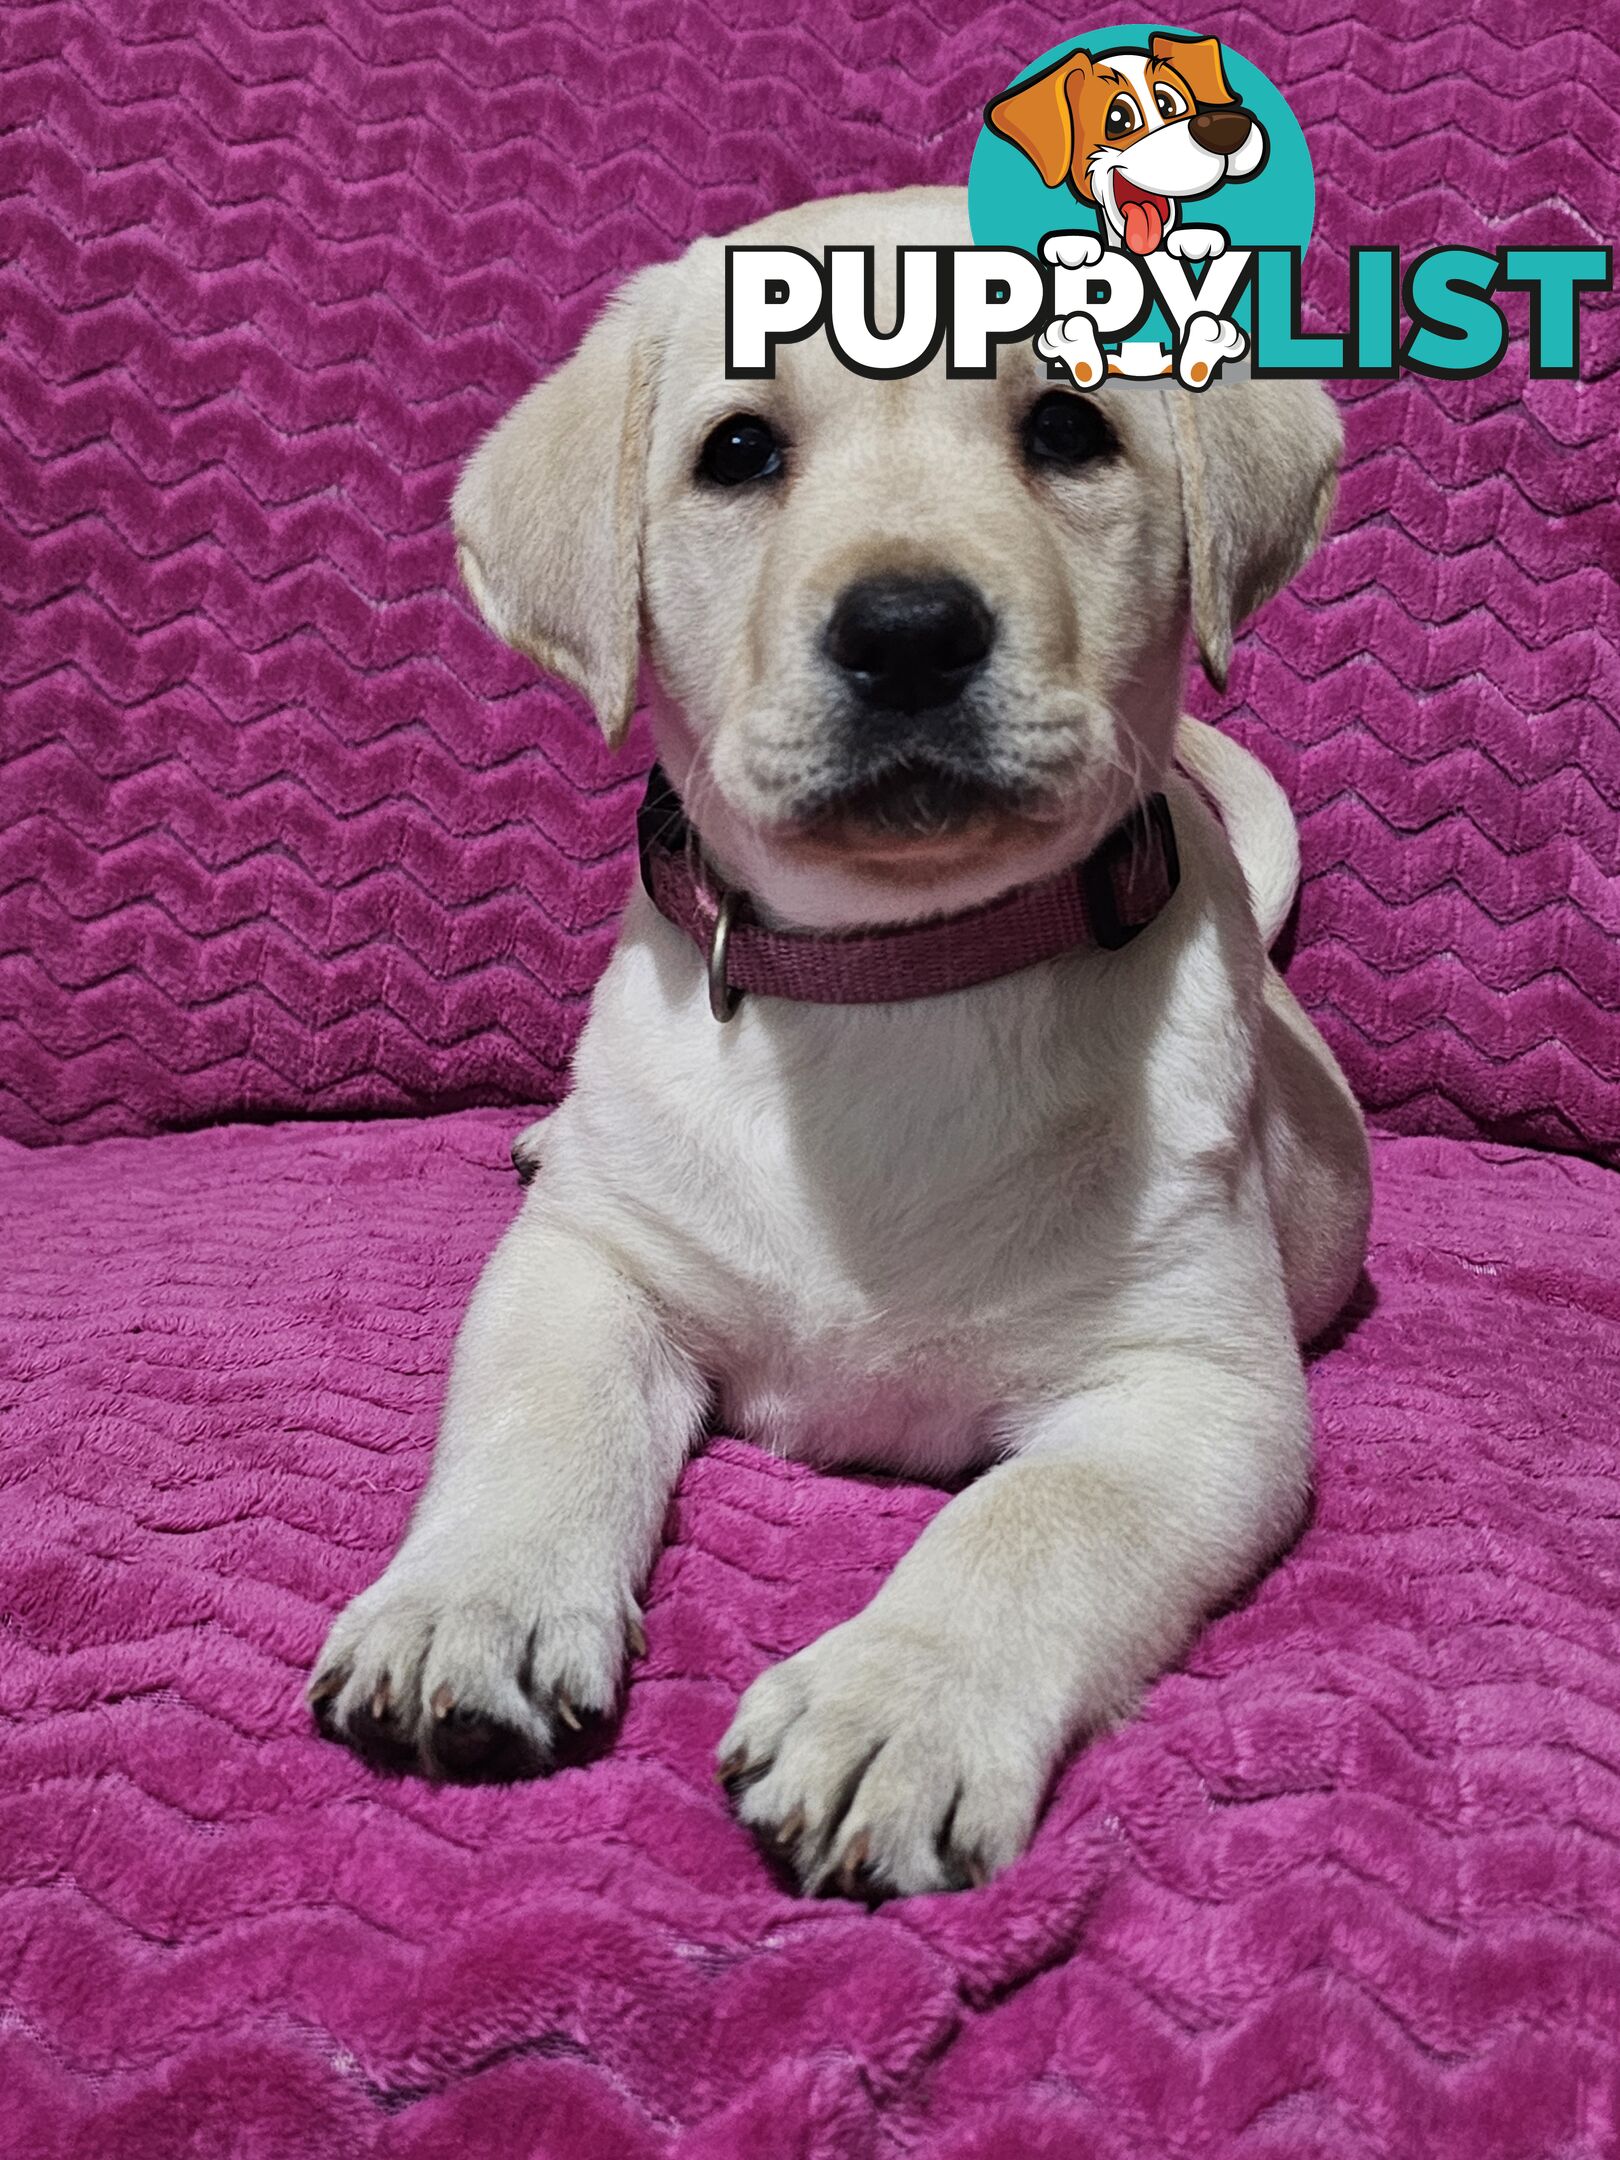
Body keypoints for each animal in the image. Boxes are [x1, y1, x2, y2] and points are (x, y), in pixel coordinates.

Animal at [306, 190, 1373, 1909]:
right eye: (740, 452)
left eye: (1069, 427)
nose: (912, 630)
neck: (890, 979)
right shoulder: (590, 1266)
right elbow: (541, 1420)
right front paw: (468, 1602)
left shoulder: (1194, 1397)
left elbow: (1033, 1520)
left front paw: (897, 1702)